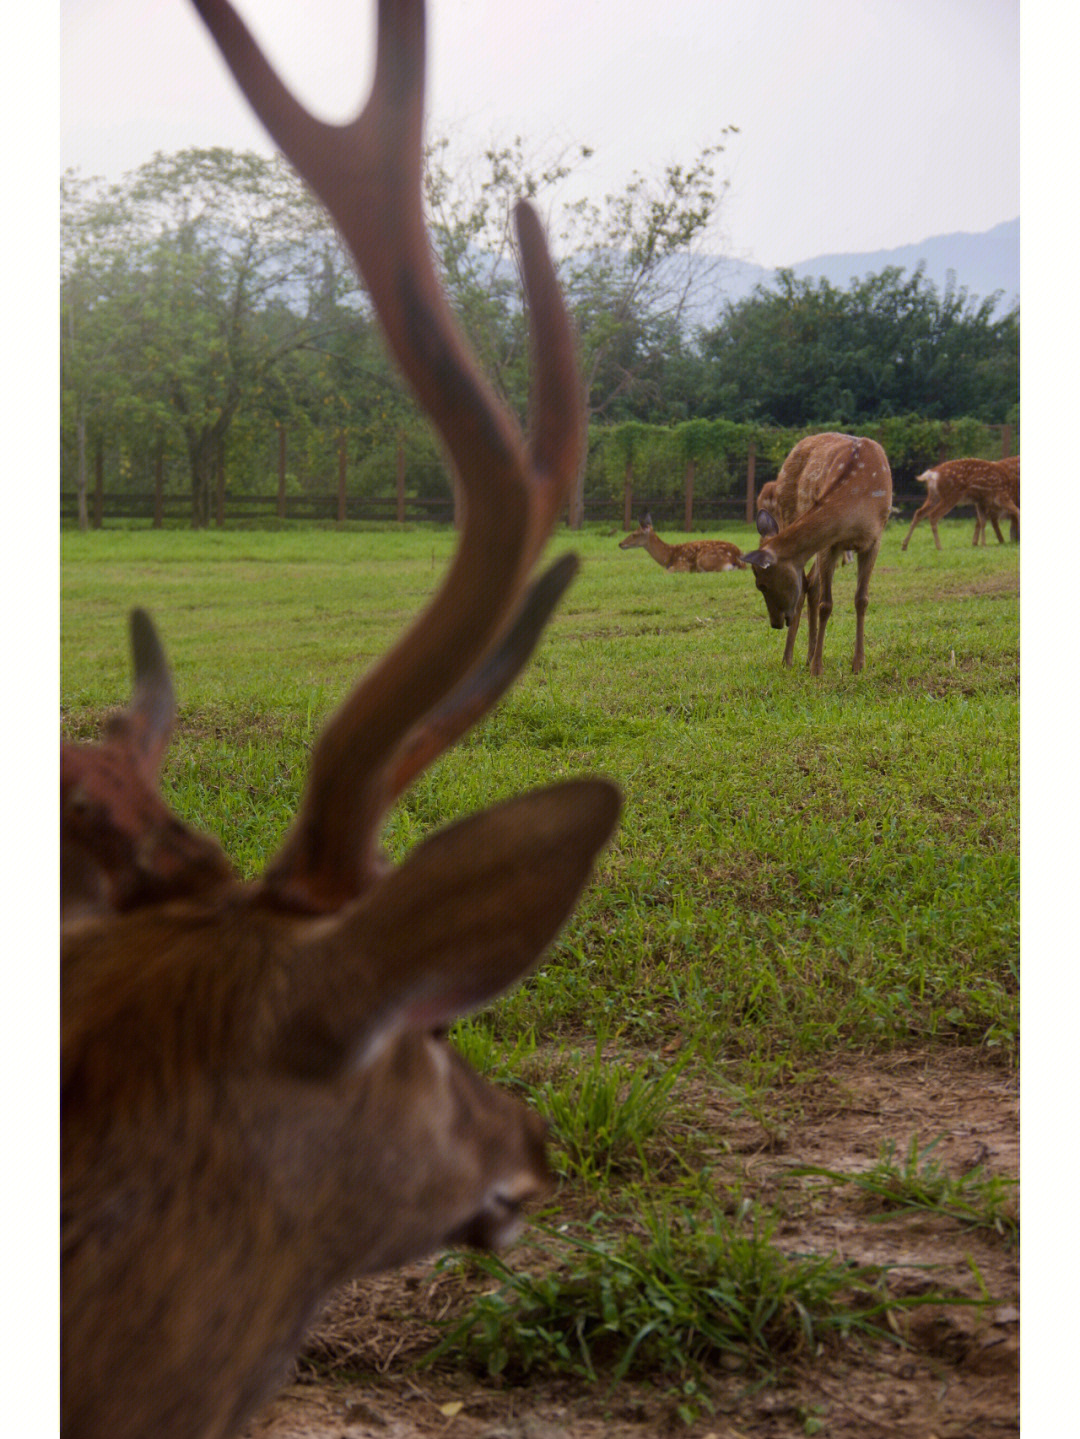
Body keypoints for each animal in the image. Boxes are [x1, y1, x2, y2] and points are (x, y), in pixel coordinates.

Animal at [742, 431, 897, 673]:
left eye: (762, 585)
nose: (775, 623)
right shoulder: (829, 545)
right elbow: (826, 604)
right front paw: (817, 668)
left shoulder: (874, 540)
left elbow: (861, 599)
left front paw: (858, 664)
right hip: (787, 510)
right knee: (808, 585)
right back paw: (789, 659)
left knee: (810, 583)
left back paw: (807, 655)